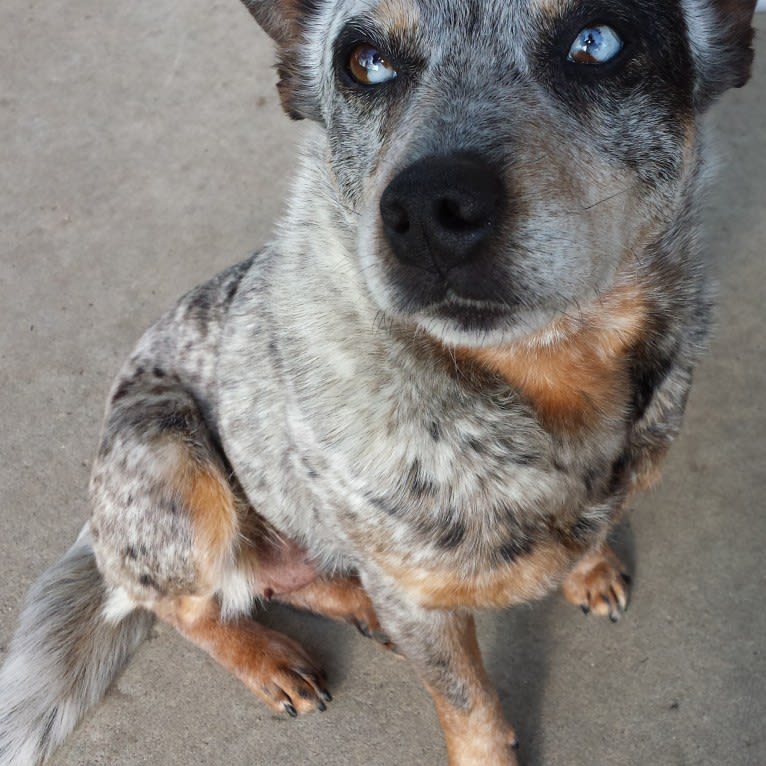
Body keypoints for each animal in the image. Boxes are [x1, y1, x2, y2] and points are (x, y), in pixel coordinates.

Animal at [0, 1, 756, 766]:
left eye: (597, 43)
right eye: (365, 63)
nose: (429, 209)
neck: (546, 386)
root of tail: (97, 527)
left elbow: (600, 527)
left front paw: (591, 568)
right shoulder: (418, 603)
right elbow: (470, 706)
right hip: (169, 456)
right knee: (186, 604)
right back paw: (271, 659)